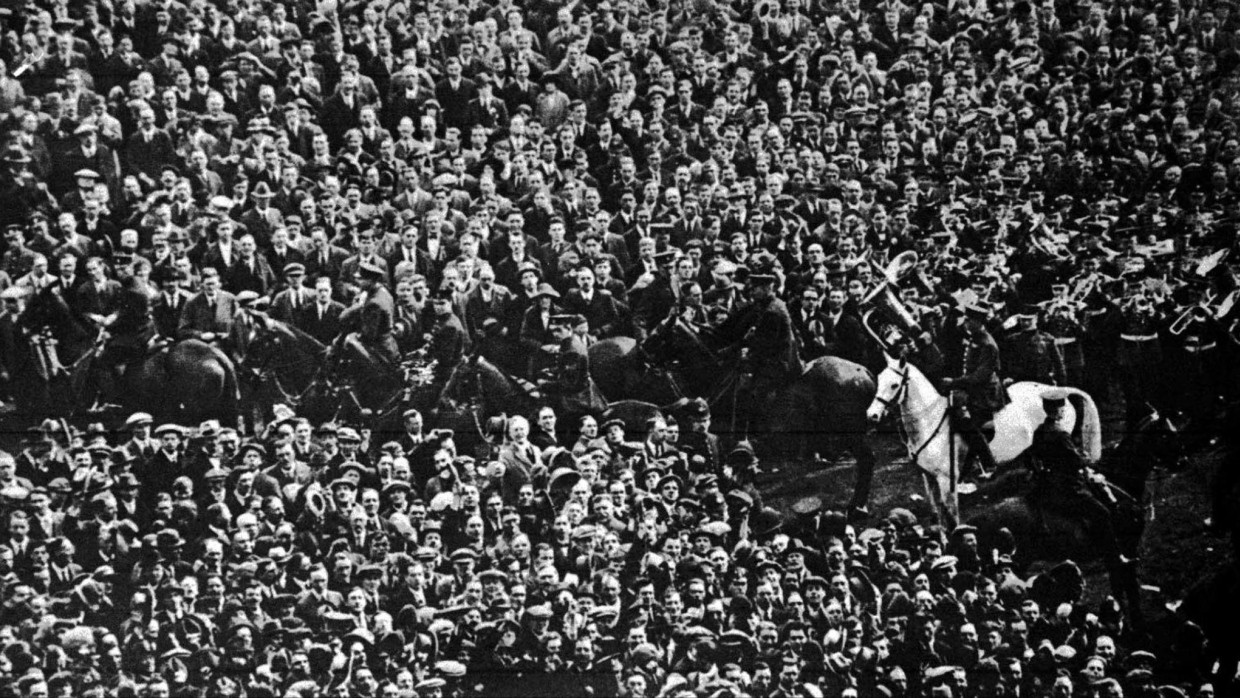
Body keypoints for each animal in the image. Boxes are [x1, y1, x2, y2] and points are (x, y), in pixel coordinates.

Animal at [639, 317, 882, 513]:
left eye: (660, 333)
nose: (641, 352)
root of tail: (864, 372)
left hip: (851, 432)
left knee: (867, 461)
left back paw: (858, 505)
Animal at [868, 354, 1101, 525]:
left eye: (894, 385)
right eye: (879, 380)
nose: (872, 415)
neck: (930, 421)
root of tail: (1054, 390)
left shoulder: (946, 481)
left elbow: (953, 517)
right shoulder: (928, 478)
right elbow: (938, 516)